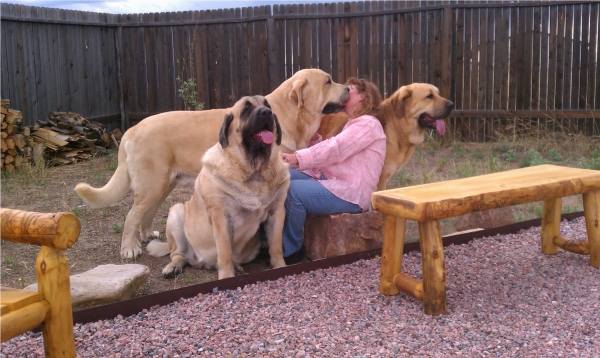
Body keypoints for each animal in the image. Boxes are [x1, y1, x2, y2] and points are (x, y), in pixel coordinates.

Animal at [76, 68, 346, 258]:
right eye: (328, 81)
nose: (348, 89)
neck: (292, 116)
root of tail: (131, 129)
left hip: (162, 186)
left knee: (145, 213)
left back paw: (146, 235)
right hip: (153, 185)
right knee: (131, 216)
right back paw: (129, 248)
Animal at [146, 96, 290, 280]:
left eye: (268, 106)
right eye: (246, 109)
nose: (267, 113)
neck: (255, 170)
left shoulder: (276, 212)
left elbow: (276, 246)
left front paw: (280, 267)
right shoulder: (220, 216)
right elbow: (225, 252)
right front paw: (227, 276)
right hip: (176, 213)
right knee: (178, 254)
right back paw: (173, 267)